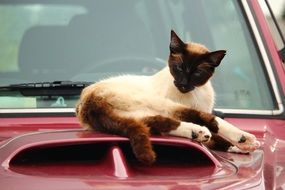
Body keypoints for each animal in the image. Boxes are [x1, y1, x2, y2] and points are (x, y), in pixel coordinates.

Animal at [76, 29, 260, 165]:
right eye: (178, 68)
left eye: (197, 73)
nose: (183, 83)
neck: (195, 92)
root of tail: (88, 100)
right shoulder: (184, 106)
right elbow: (212, 124)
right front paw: (244, 142)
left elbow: (215, 140)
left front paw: (240, 148)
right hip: (158, 104)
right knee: (205, 119)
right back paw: (237, 137)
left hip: (137, 114)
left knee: (161, 122)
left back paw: (198, 133)